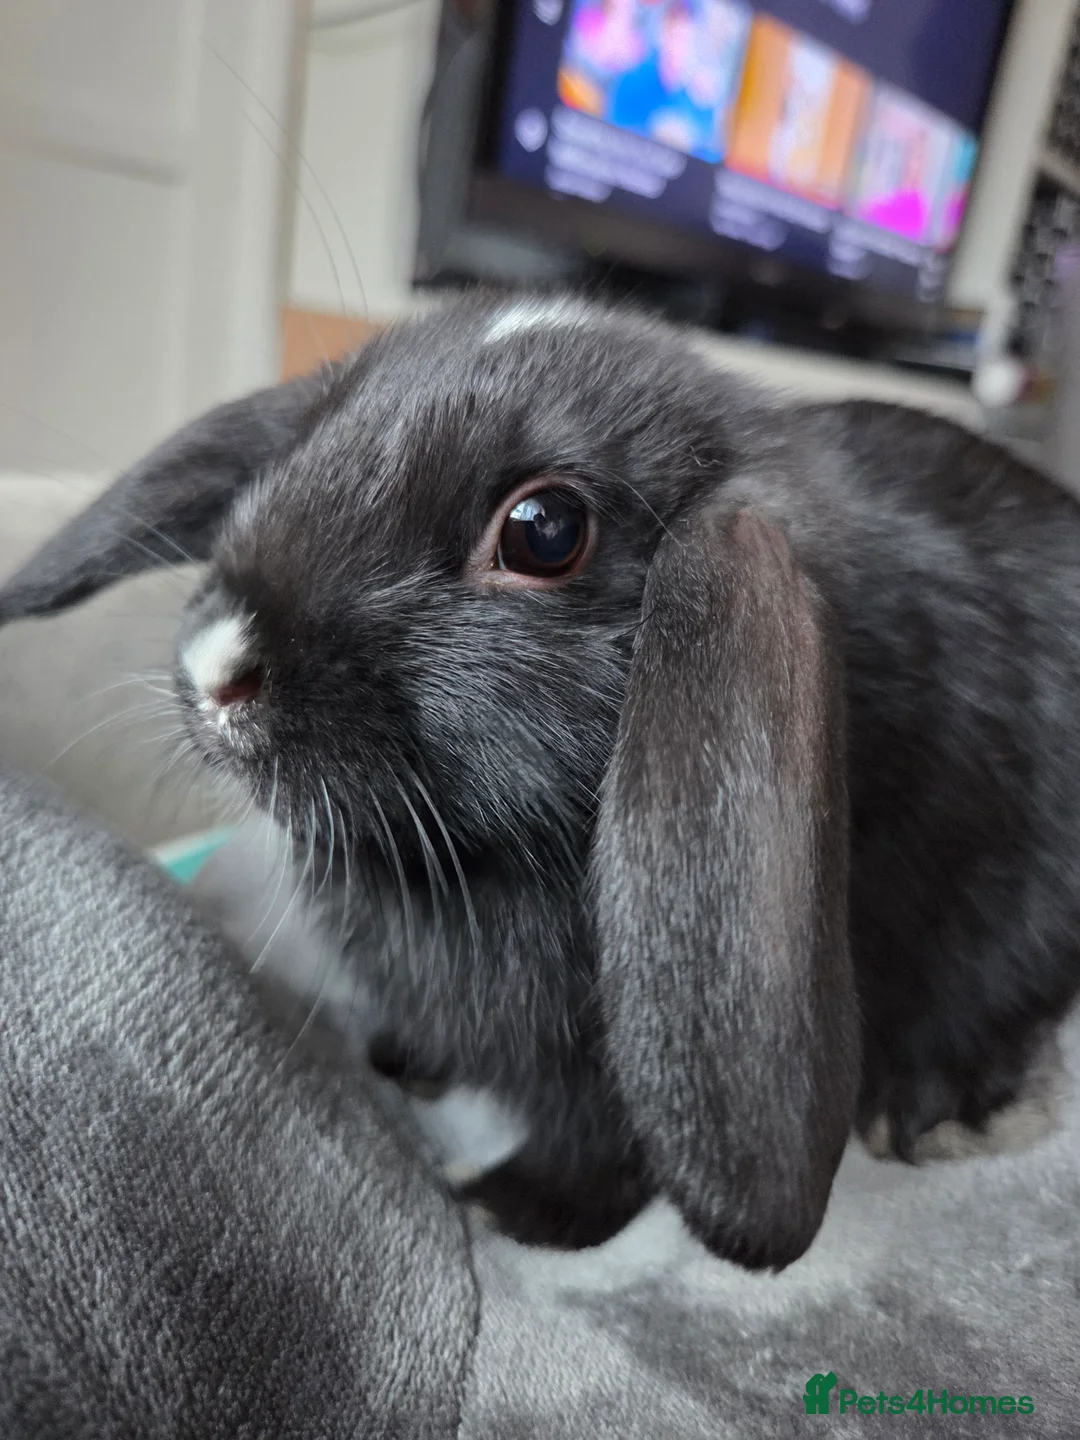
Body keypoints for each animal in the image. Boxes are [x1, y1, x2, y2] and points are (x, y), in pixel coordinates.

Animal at [6, 289, 1080, 1272]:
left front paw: (505, 1210)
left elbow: (598, 1149)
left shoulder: (604, 1077)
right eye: (315, 428)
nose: (218, 664)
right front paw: (406, 1062)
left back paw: (936, 1110)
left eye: (546, 531)